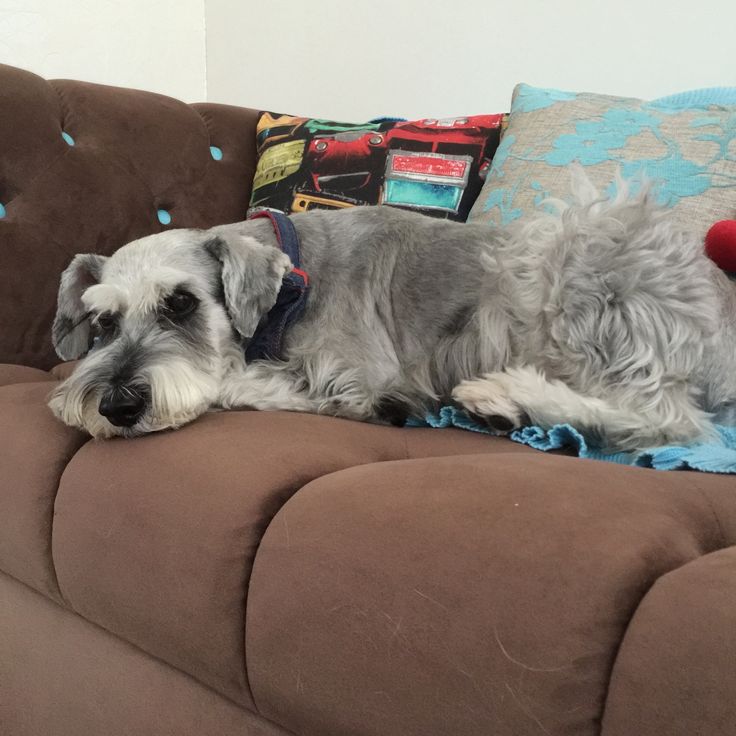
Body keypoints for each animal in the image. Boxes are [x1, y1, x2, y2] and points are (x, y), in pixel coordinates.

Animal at [47, 175, 736, 452]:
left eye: (182, 302)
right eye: (102, 323)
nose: (116, 406)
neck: (294, 285)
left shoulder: (360, 378)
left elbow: (245, 384)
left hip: (582, 249)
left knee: (670, 422)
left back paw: (504, 393)